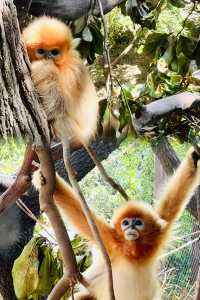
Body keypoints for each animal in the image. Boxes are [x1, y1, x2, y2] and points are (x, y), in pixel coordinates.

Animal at [33, 146, 200, 300]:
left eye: (137, 222)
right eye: (125, 223)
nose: (130, 226)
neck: (132, 252)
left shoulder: (158, 234)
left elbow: (172, 204)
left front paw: (193, 158)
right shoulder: (109, 238)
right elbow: (79, 213)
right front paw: (40, 176)